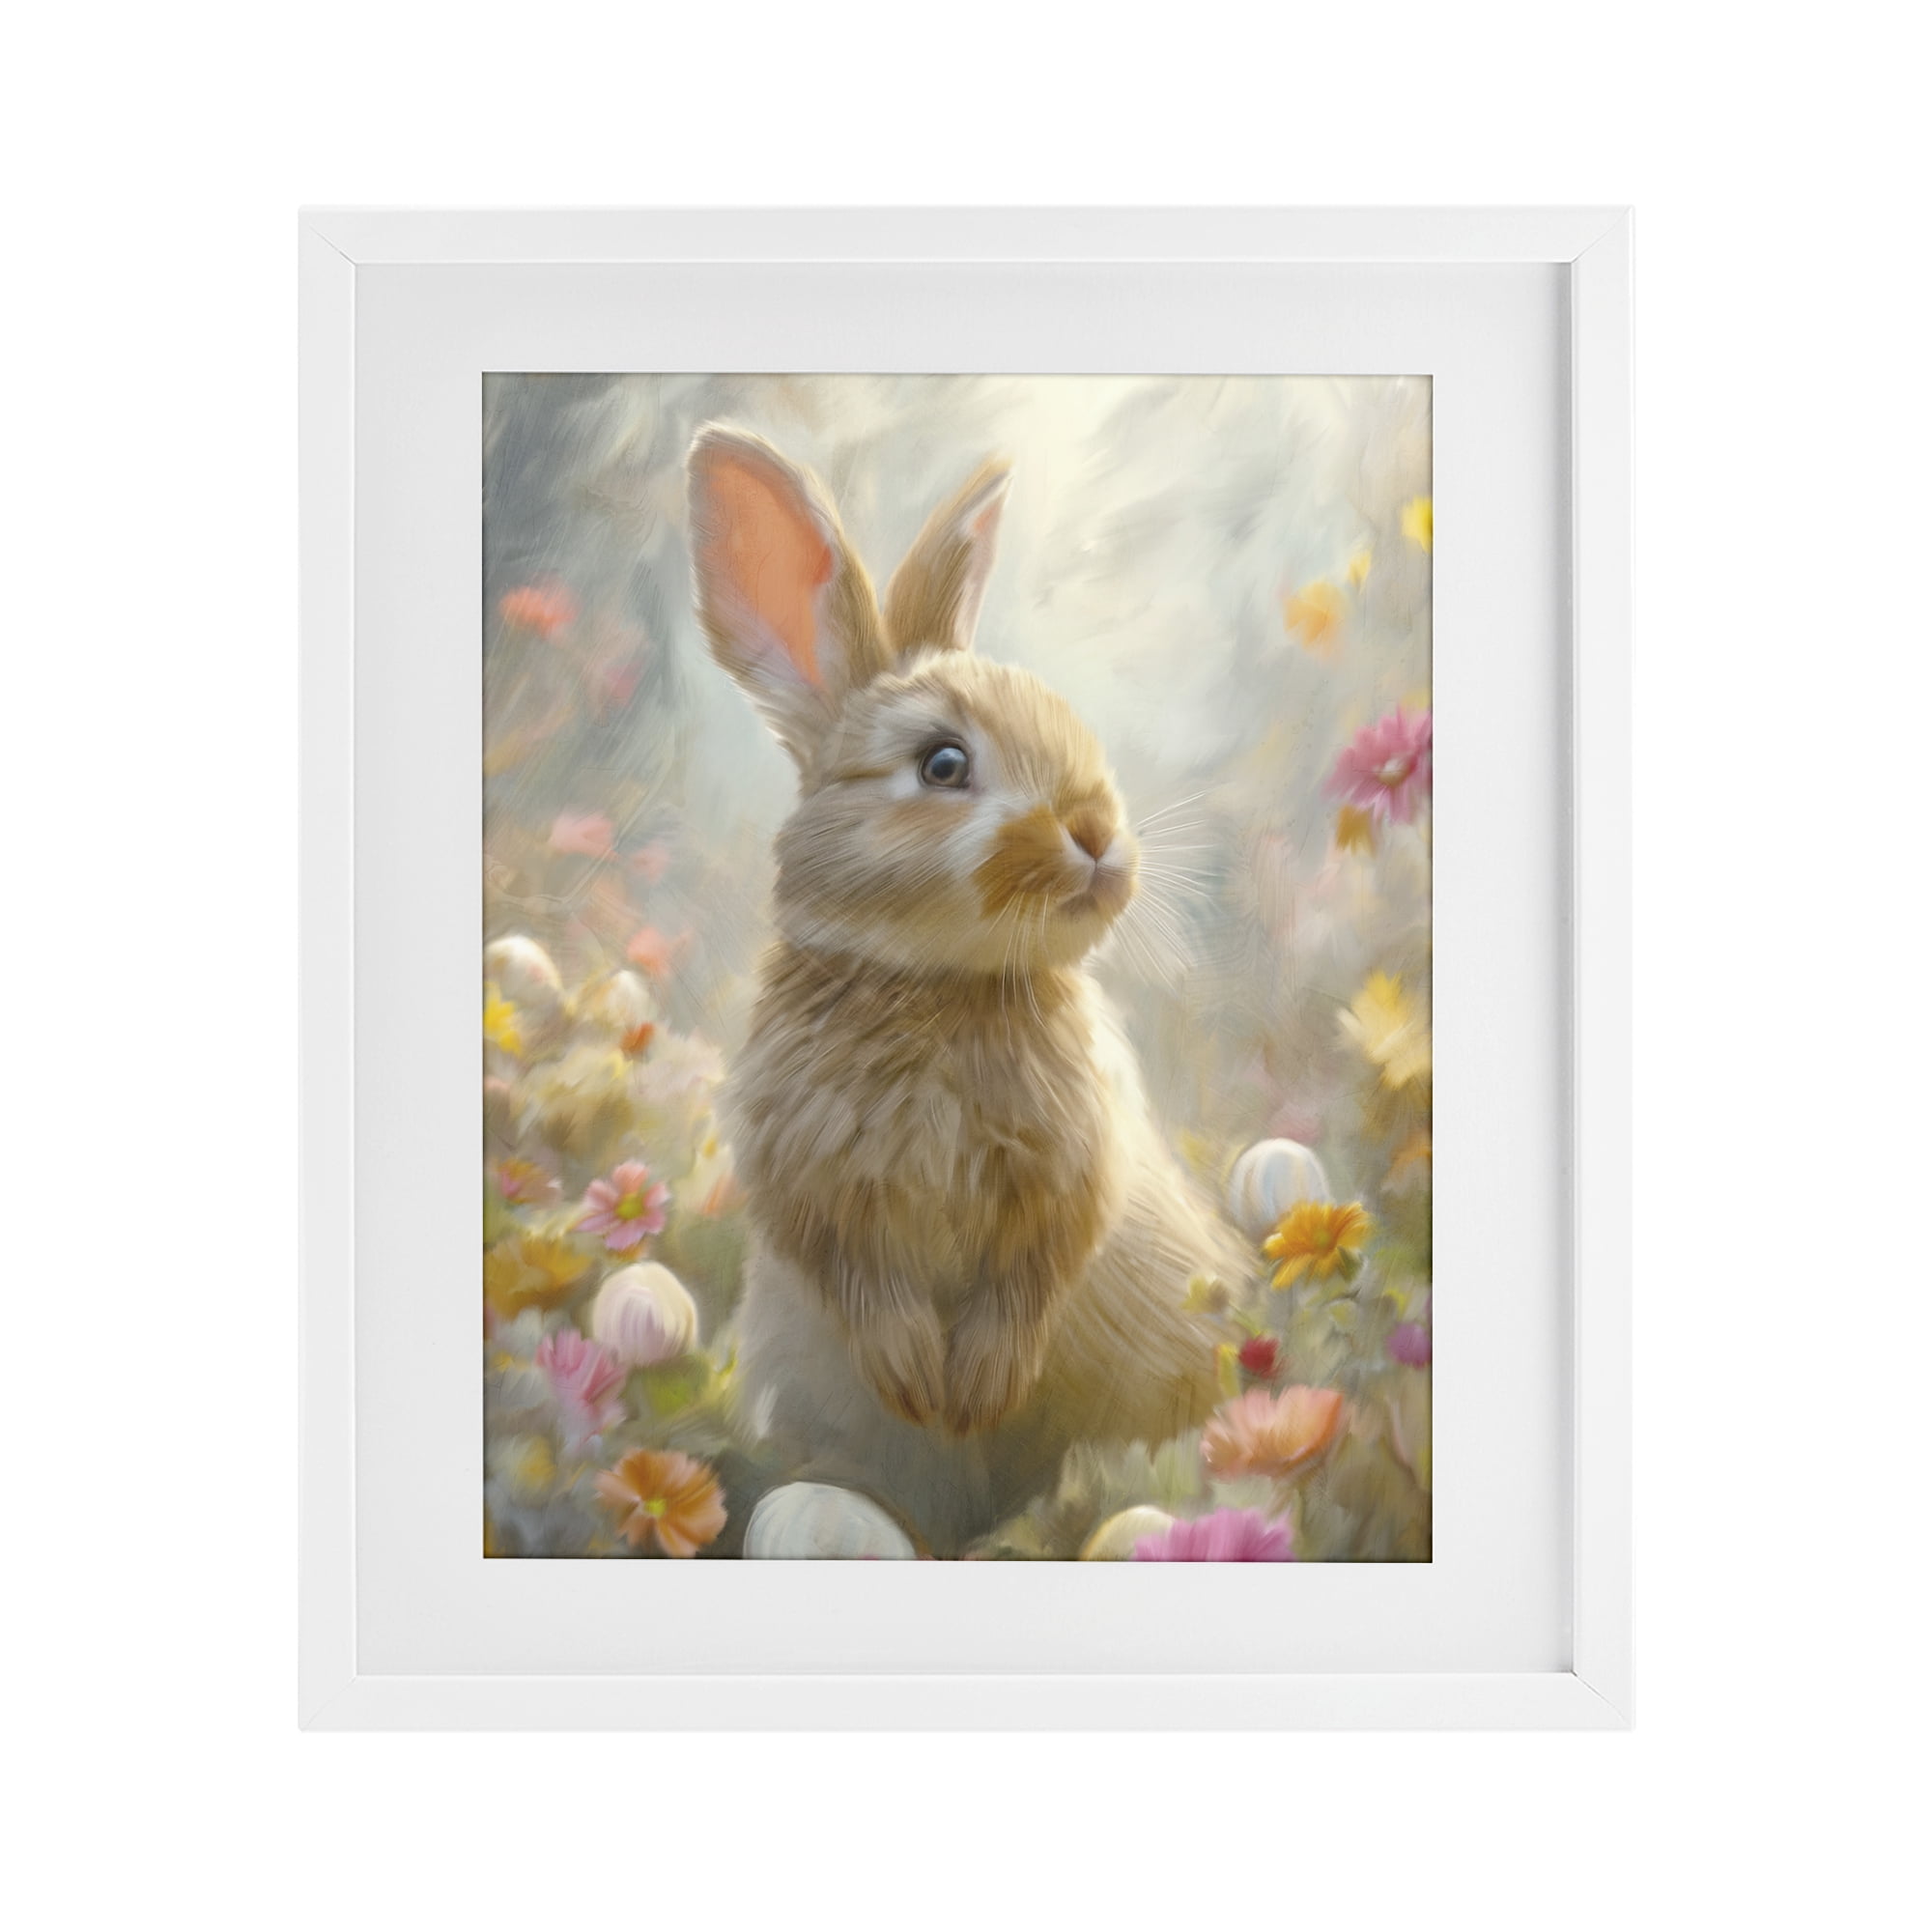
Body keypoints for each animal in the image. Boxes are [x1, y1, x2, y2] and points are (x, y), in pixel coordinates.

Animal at [685, 424, 1243, 1552]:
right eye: (942, 763)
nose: (1098, 834)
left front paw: (977, 1387)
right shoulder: (811, 1179)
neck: (937, 983)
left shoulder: (1068, 1172)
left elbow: (1034, 1271)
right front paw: (917, 1380)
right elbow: (856, 1272)